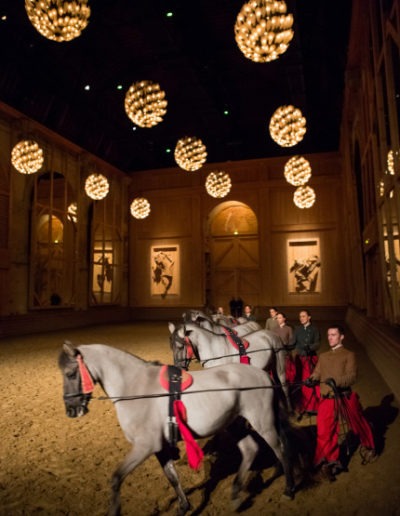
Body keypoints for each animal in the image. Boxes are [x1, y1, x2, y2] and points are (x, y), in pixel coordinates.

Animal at [58, 340, 294, 512]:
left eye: (71, 373)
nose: (71, 410)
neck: (135, 387)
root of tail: (262, 374)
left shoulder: (145, 446)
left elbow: (116, 478)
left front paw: (114, 510)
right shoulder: (160, 447)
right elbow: (171, 476)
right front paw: (183, 506)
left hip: (263, 422)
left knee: (281, 449)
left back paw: (289, 490)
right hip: (234, 424)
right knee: (250, 450)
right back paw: (236, 495)